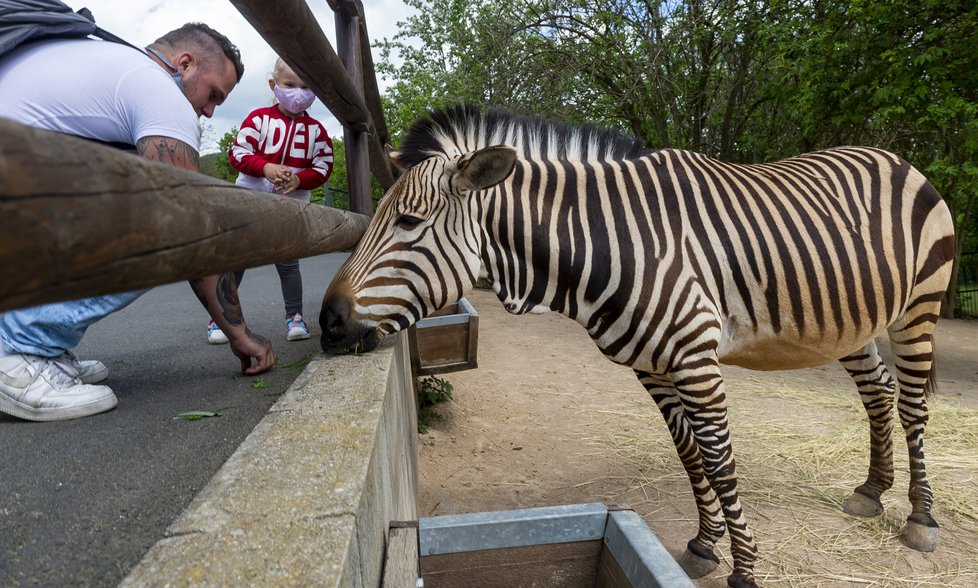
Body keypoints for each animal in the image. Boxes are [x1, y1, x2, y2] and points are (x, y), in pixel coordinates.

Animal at [320, 105, 952, 588]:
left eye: (407, 222)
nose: (327, 321)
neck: (609, 245)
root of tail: (893, 156)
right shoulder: (651, 367)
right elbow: (691, 453)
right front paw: (704, 543)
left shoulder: (695, 359)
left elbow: (720, 460)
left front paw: (745, 569)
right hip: (854, 324)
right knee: (878, 393)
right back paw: (872, 490)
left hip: (920, 305)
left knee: (913, 404)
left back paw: (921, 518)